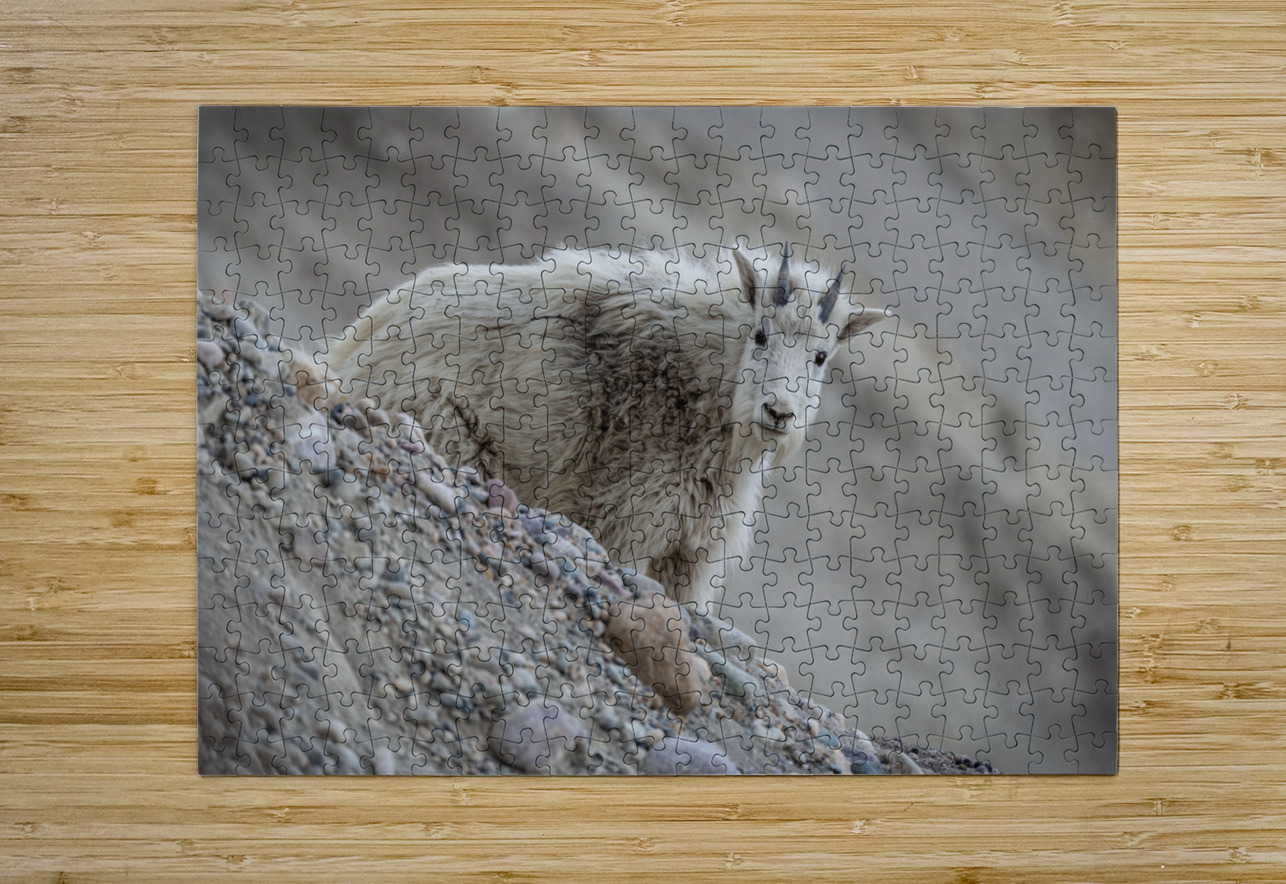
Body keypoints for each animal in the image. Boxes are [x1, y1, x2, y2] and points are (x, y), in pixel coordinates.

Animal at [325, 247, 886, 606]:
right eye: (762, 335)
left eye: (821, 355)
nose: (780, 413)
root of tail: (349, 350)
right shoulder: (631, 518)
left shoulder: (692, 553)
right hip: (447, 432)